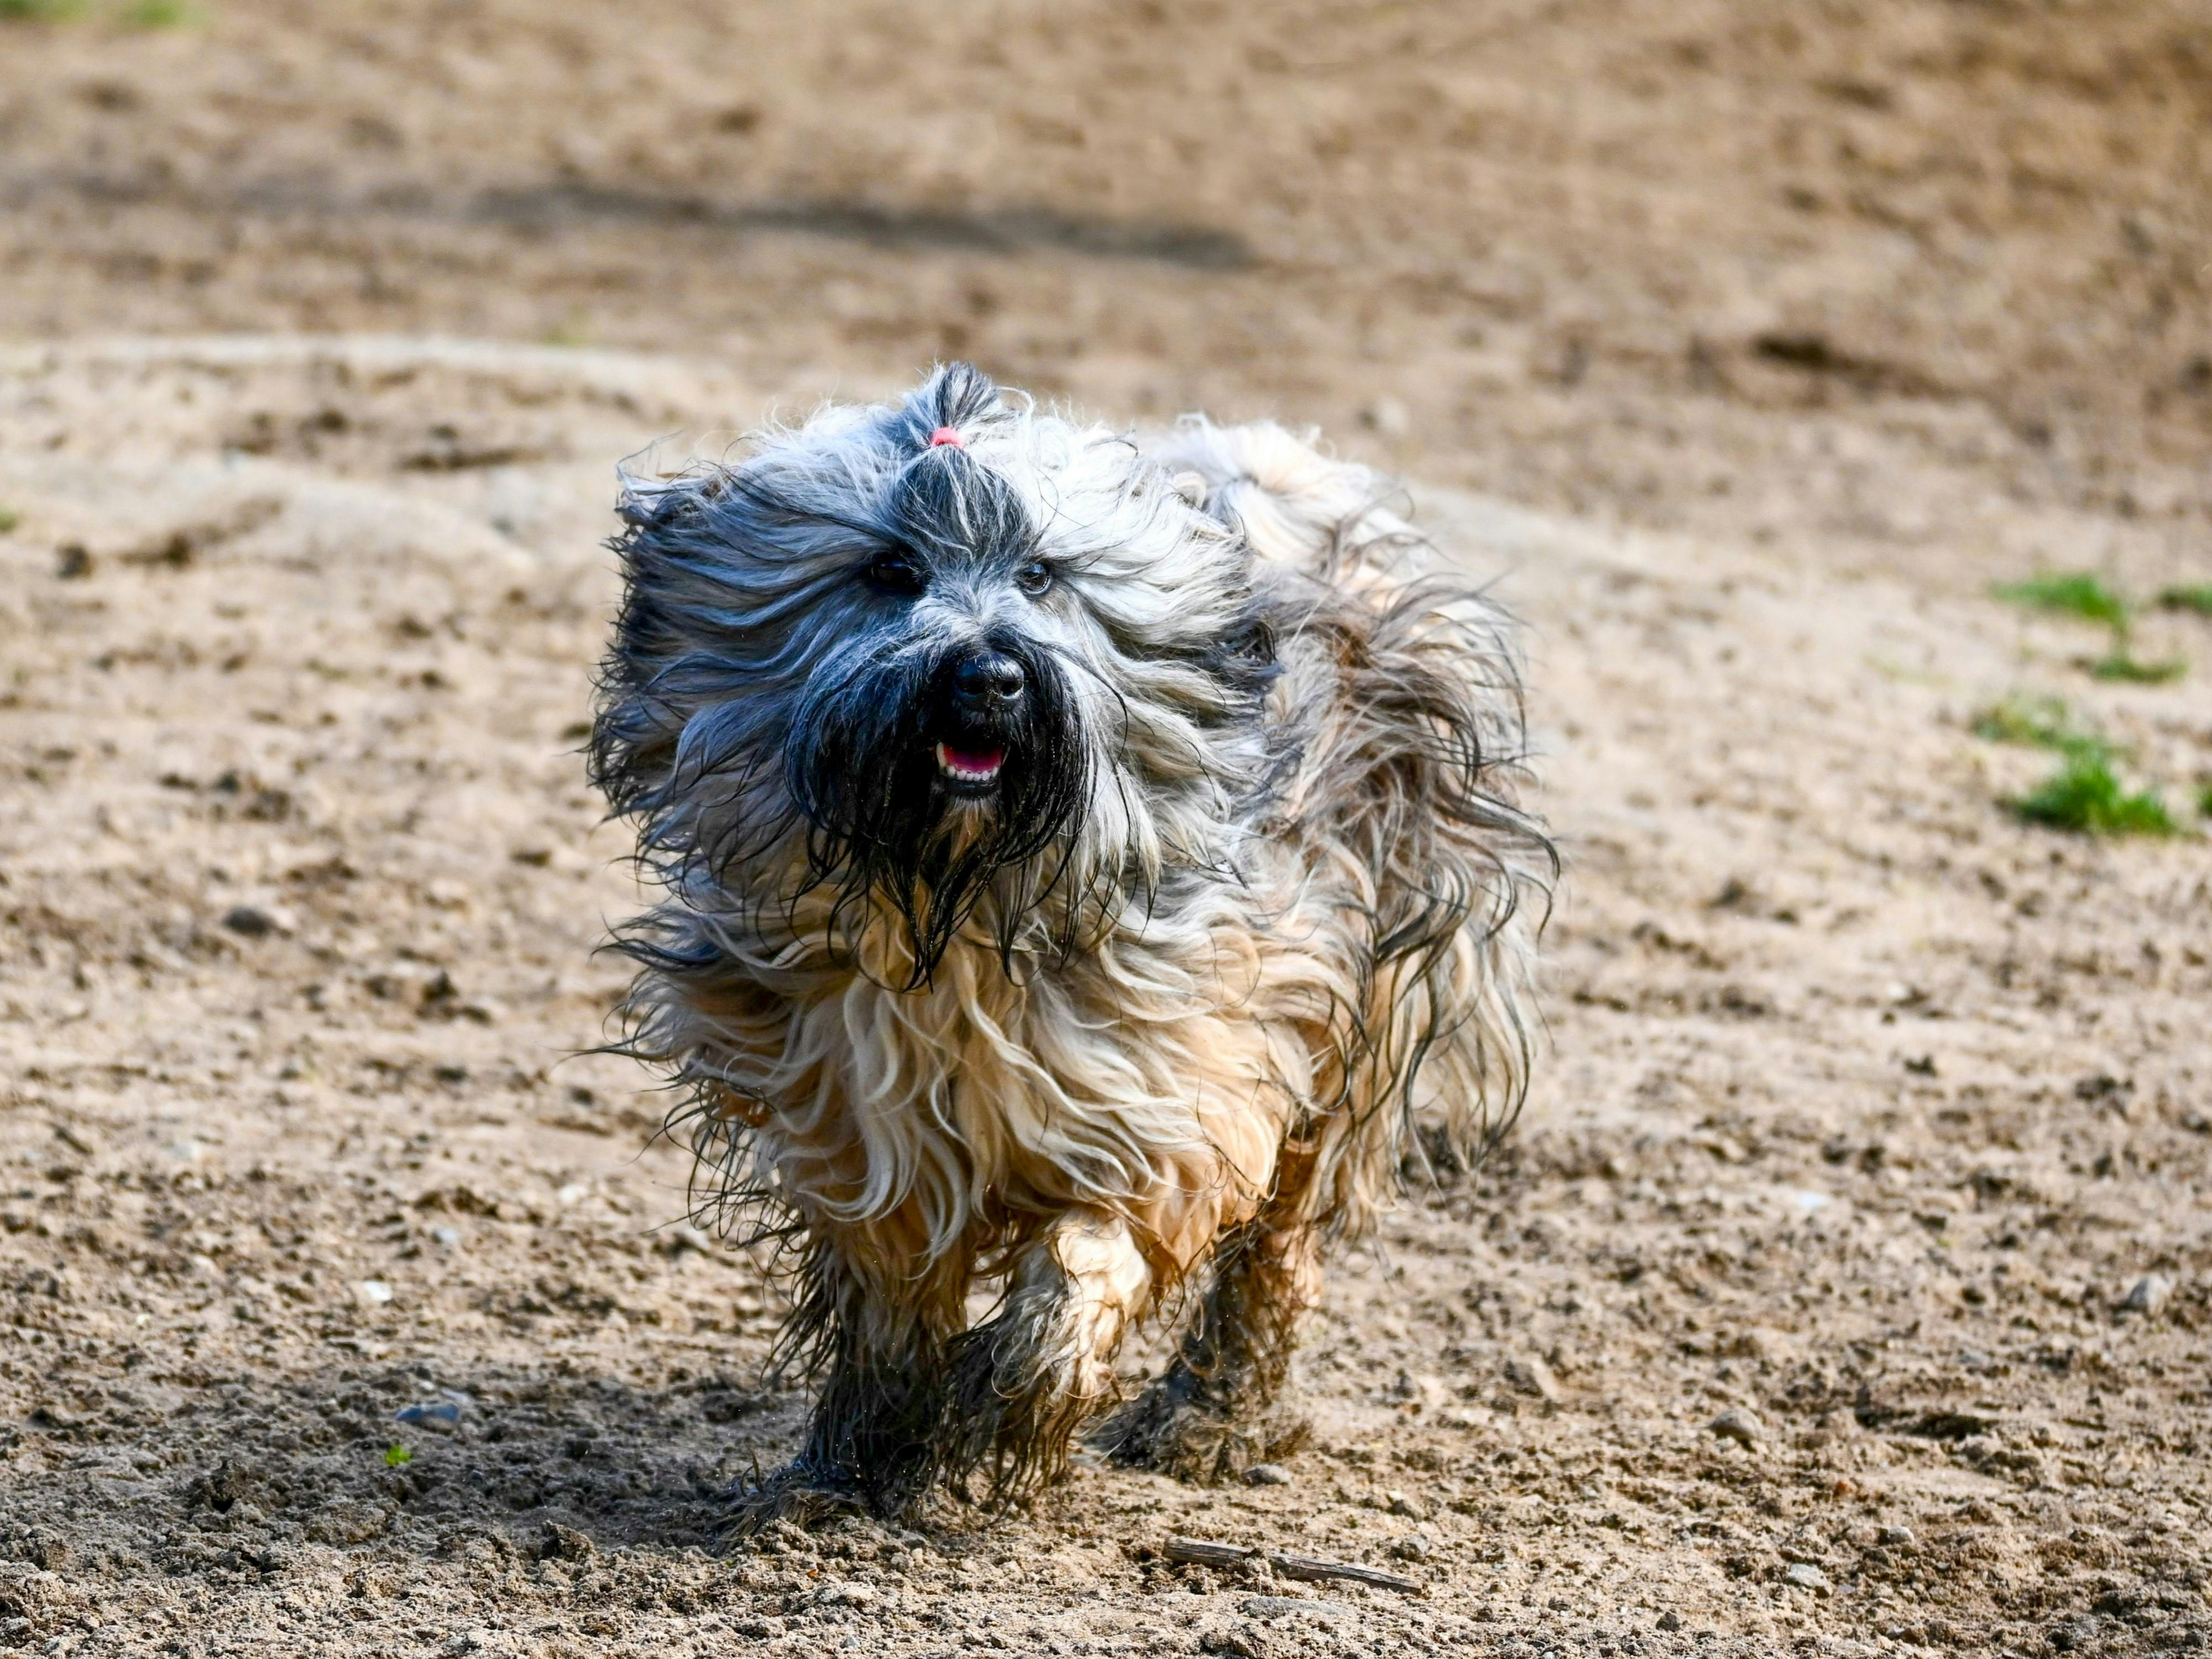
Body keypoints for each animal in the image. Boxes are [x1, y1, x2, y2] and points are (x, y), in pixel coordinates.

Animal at [588, 367, 1557, 1530]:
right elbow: (891, 1305)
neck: (953, 908)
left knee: (1283, 1241)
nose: (989, 676)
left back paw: (1215, 1418)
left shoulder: (1180, 1080)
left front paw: (1019, 1395)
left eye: (1041, 575)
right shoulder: (861, 1128)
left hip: (1366, 992)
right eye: (890, 570)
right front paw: (862, 1464)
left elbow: (1098, 1249)